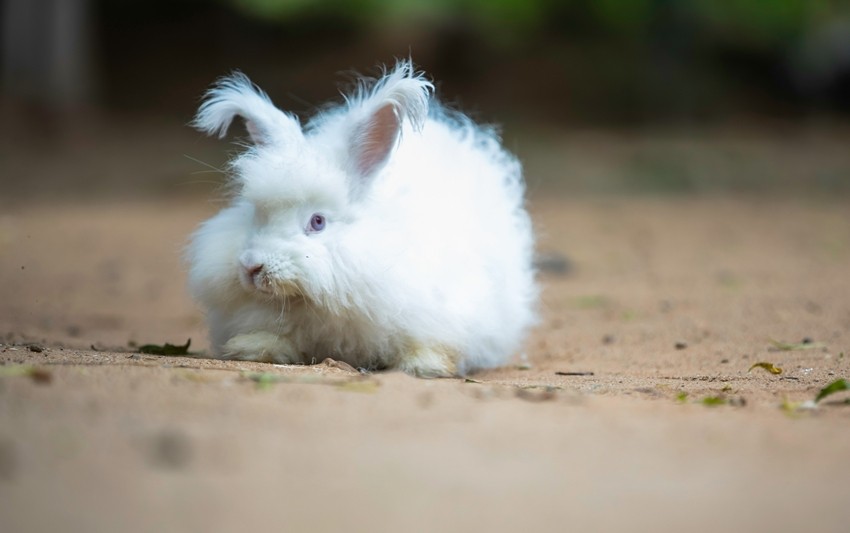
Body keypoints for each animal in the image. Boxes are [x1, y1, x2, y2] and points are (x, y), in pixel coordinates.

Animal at [187, 60, 537, 377]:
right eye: (256, 215)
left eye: (317, 222)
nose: (251, 267)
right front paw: (253, 349)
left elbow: (430, 345)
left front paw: (425, 366)